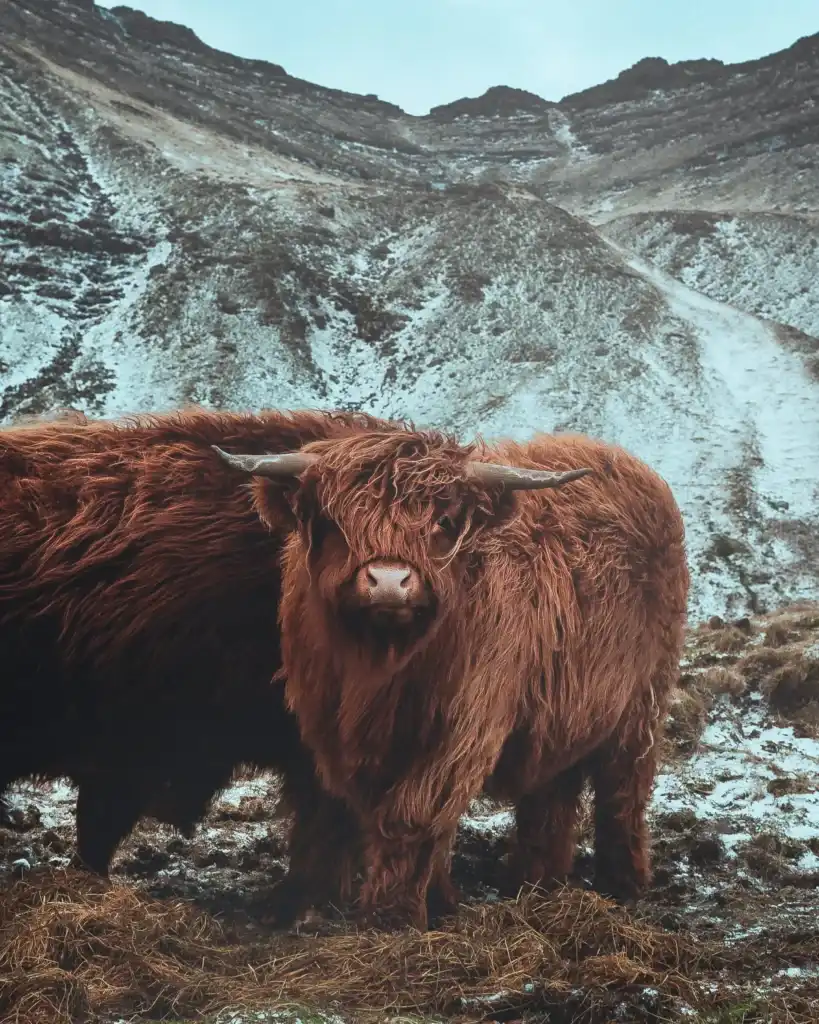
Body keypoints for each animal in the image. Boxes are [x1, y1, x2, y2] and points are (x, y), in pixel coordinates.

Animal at [219, 428, 692, 933]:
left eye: (442, 521)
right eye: (333, 521)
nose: (390, 581)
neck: (384, 667)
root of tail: (626, 463)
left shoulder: (461, 726)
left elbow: (413, 814)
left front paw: (393, 917)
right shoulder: (333, 730)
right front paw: (440, 901)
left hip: (642, 702)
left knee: (622, 789)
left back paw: (622, 884)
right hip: (565, 708)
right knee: (551, 795)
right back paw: (536, 884)